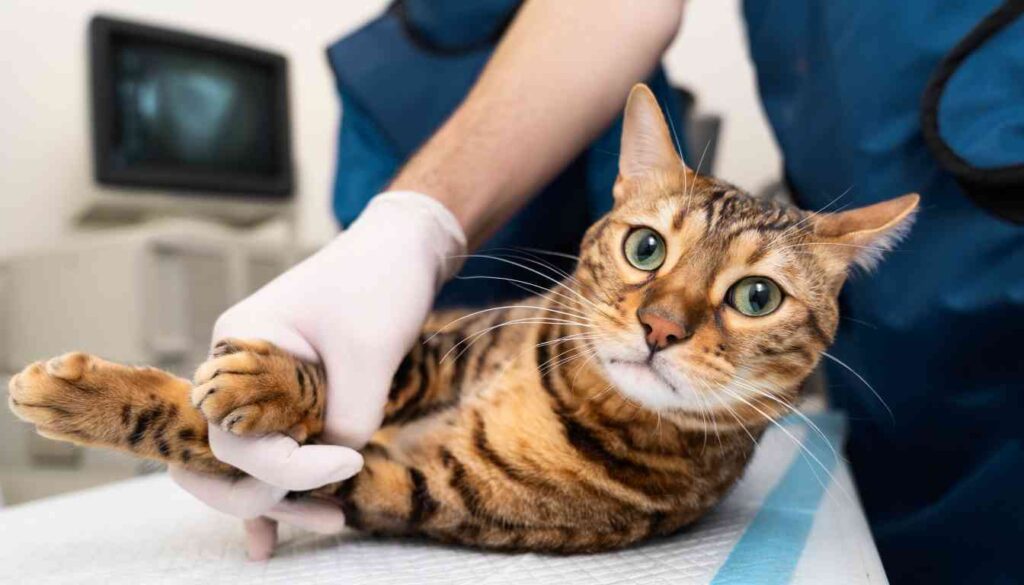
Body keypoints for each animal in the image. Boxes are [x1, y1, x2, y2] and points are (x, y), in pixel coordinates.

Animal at [6, 83, 921, 553]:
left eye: (756, 297)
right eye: (647, 247)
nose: (661, 327)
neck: (570, 399)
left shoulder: (410, 485)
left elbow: (231, 443)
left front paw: (81, 396)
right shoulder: (441, 342)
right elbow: (368, 370)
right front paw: (268, 378)